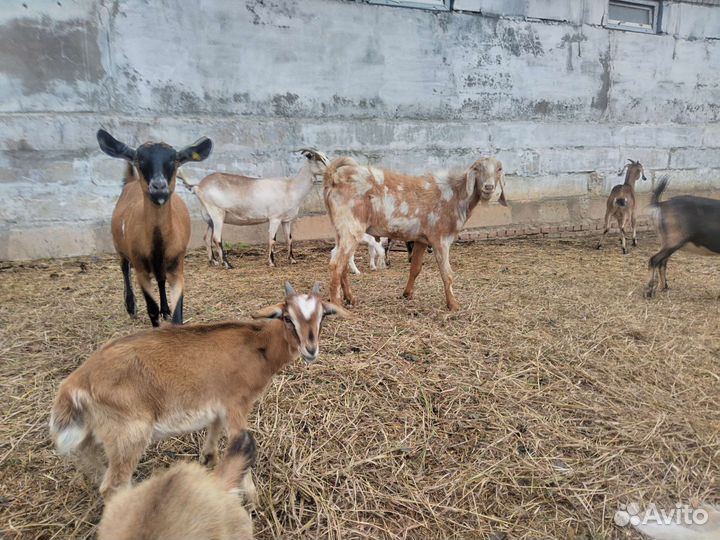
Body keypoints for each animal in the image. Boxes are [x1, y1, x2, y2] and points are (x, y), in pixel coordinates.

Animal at [48, 282, 347, 499]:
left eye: (322, 317)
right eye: (287, 318)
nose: (310, 350)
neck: (258, 346)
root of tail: (75, 382)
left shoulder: (217, 404)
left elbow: (213, 434)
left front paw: (208, 459)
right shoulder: (236, 405)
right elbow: (241, 444)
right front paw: (253, 497)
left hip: (96, 432)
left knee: (90, 460)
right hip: (129, 434)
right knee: (112, 486)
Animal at [97, 129, 213, 327]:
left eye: (174, 160)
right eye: (139, 159)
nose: (159, 187)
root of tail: (131, 181)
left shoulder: (177, 266)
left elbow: (178, 314)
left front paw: (169, 312)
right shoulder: (141, 270)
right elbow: (152, 309)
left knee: (160, 278)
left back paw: (164, 309)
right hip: (119, 246)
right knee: (124, 268)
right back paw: (131, 306)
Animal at [178, 149, 329, 268]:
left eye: (325, 156)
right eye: (319, 159)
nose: (331, 169)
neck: (291, 187)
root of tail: (199, 186)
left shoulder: (286, 220)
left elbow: (289, 239)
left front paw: (292, 260)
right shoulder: (274, 218)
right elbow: (272, 238)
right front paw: (272, 262)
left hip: (209, 217)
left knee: (207, 237)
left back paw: (214, 262)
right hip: (217, 213)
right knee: (216, 238)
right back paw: (227, 264)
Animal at [324, 156, 507, 310]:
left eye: (499, 168)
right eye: (477, 168)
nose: (488, 187)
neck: (454, 195)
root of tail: (333, 178)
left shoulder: (421, 240)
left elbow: (415, 268)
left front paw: (407, 294)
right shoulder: (441, 239)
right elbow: (447, 273)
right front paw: (453, 305)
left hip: (341, 231)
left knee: (340, 261)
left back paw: (350, 298)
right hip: (350, 227)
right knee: (336, 264)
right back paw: (337, 305)